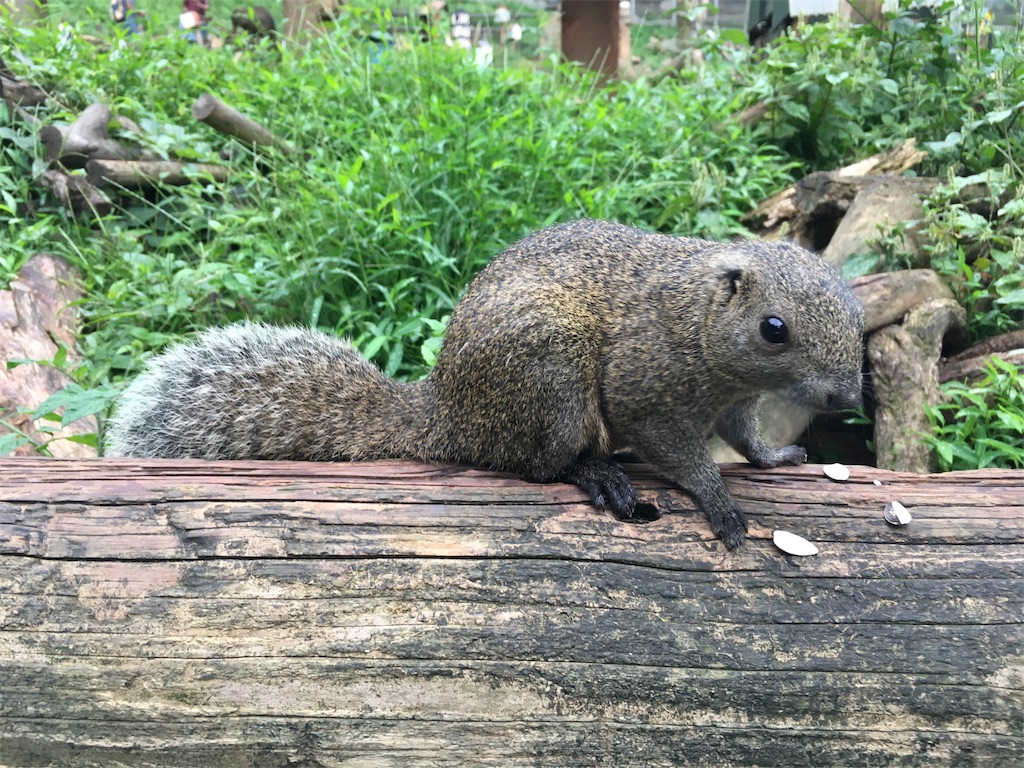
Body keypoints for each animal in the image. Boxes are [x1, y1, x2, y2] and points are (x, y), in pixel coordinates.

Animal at [108, 219, 864, 548]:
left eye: (857, 309)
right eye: (774, 329)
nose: (847, 396)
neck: (698, 320)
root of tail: (448, 413)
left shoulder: (738, 402)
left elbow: (745, 437)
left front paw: (774, 456)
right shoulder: (645, 387)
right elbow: (677, 451)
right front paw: (719, 501)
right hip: (549, 373)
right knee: (533, 463)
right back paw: (596, 473)